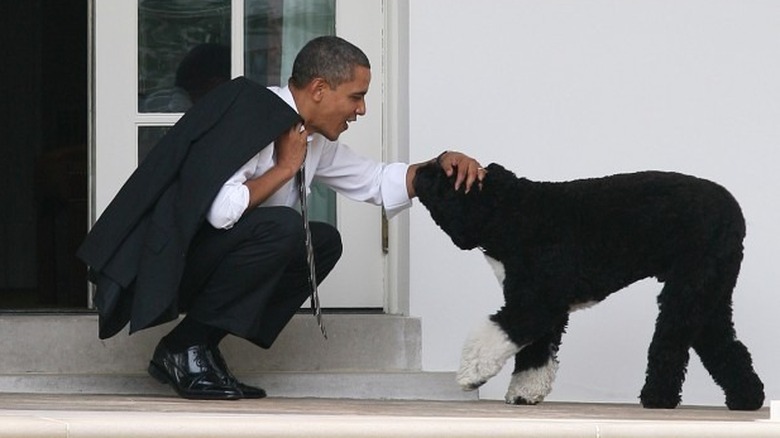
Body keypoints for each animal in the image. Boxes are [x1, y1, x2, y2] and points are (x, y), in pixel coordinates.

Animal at [412, 162, 764, 410]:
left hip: (688, 290)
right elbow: (535, 353)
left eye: (445, 175)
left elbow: (496, 332)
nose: (419, 169)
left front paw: (472, 374)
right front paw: (525, 393)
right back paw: (747, 398)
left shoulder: (537, 302)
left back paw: (657, 398)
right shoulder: (541, 306)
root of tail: (734, 212)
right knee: (724, 345)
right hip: (710, 293)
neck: (512, 211)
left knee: (670, 345)